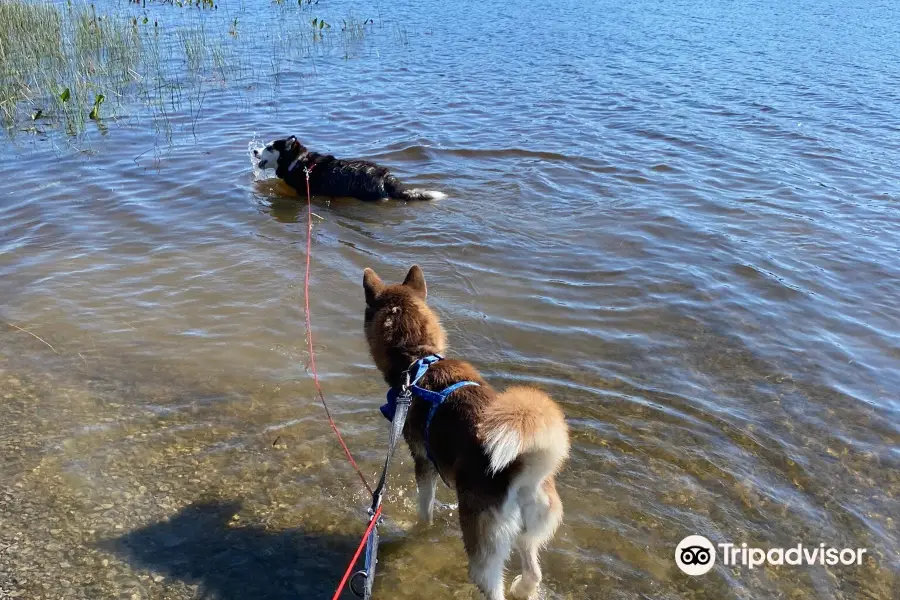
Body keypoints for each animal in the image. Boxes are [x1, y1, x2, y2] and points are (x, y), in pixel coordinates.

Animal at [360, 264, 568, 600]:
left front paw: (416, 528)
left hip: (484, 547)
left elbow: (425, 511)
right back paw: (524, 587)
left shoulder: (424, 463)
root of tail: (523, 473)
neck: (418, 361)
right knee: (533, 573)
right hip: (528, 534)